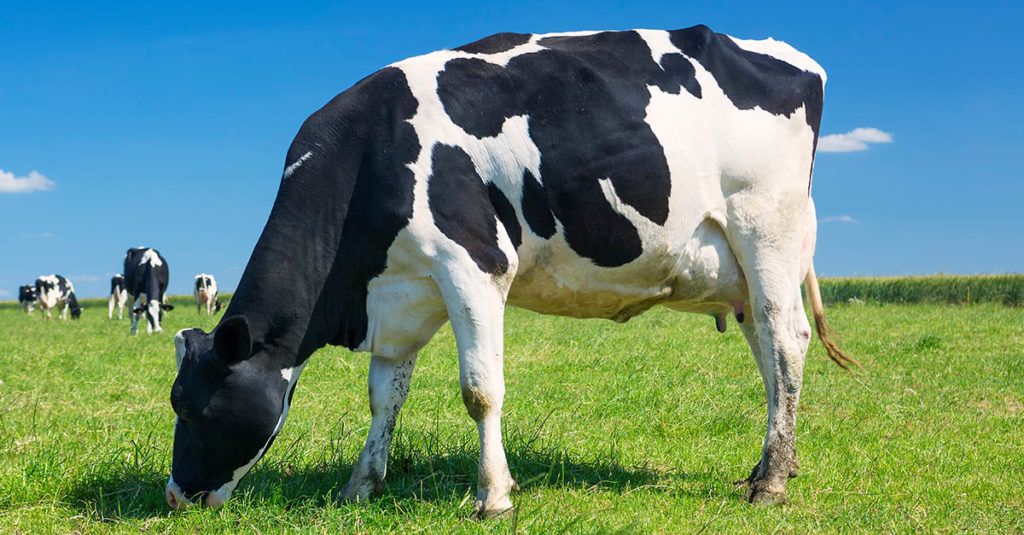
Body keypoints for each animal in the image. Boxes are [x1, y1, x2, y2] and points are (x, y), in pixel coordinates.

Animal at [166, 26, 857, 516]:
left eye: (192, 408)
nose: (174, 496)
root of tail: (789, 56)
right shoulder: (401, 292)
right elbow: (384, 395)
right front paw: (361, 485)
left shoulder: (472, 266)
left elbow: (480, 389)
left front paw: (493, 497)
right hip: (742, 267)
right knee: (768, 352)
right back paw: (773, 464)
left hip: (765, 229)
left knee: (786, 340)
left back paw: (771, 483)